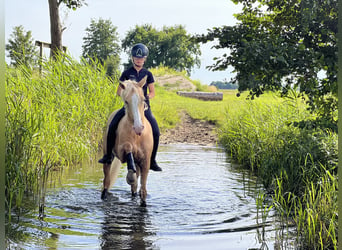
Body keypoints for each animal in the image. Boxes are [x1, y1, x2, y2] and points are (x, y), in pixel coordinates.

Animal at [101, 76, 153, 207]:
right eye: (126, 102)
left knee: (134, 187)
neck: (137, 136)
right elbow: (128, 147)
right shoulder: (121, 152)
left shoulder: (145, 161)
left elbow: (143, 190)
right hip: (108, 158)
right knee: (106, 182)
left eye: (143, 99)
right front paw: (130, 176)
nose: (138, 128)